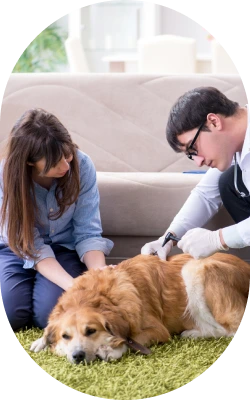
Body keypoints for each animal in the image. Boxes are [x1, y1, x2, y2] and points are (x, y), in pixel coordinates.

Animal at [29, 253, 250, 366]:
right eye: (65, 336)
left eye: (91, 331)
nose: (78, 356)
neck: (103, 297)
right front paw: (41, 340)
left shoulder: (158, 330)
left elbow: (133, 339)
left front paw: (112, 349)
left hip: (195, 268)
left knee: (228, 329)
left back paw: (193, 333)